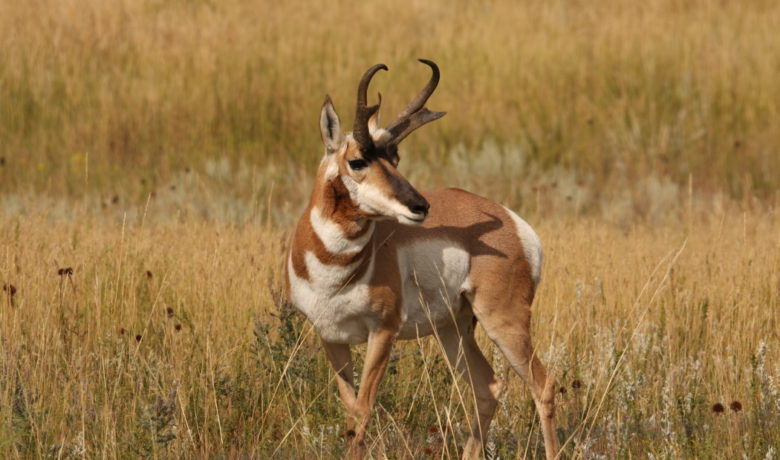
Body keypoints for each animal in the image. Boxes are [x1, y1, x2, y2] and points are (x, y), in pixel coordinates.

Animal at [286, 60, 559, 459]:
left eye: (395, 158)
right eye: (357, 161)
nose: (419, 206)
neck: (335, 268)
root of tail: (513, 222)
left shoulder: (382, 332)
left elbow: (362, 411)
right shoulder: (331, 337)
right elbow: (349, 410)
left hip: (504, 323)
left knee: (544, 385)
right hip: (453, 330)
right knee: (488, 387)